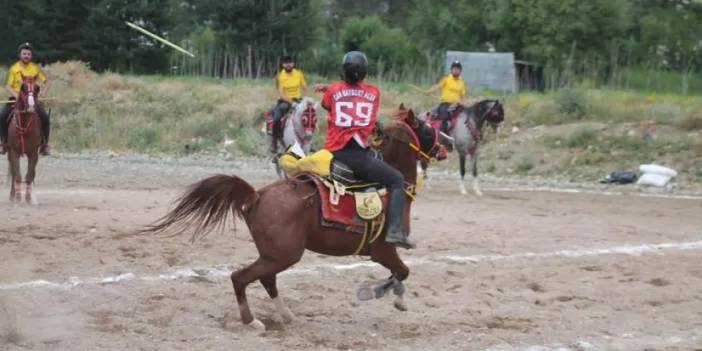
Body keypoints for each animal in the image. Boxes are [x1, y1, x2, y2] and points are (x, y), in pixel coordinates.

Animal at [7, 75, 42, 205]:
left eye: (37, 88)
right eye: (23, 87)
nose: (31, 107)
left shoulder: (33, 153)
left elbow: (30, 175)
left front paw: (28, 198)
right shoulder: (14, 152)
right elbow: (17, 174)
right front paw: (17, 198)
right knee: (13, 172)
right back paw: (12, 195)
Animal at [144, 106, 446, 330]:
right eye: (426, 128)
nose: (447, 145)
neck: (391, 189)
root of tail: (256, 196)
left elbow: (400, 274)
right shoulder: (384, 251)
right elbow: (402, 272)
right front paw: (385, 296)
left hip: (274, 255)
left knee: (266, 280)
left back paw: (286, 315)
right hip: (284, 255)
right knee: (240, 277)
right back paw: (252, 321)